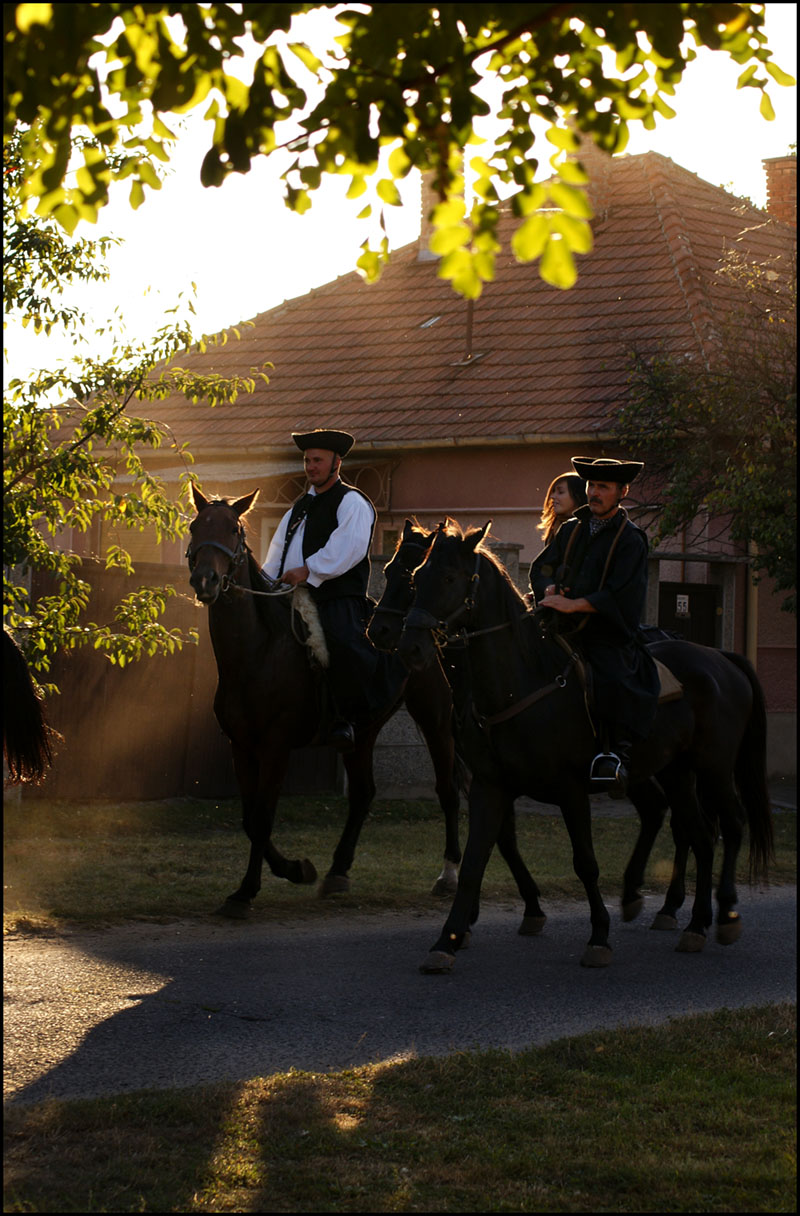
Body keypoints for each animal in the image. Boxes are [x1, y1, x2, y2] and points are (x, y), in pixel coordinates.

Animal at [187, 483, 462, 914]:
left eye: (233, 529)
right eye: (195, 527)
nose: (206, 580)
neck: (258, 651)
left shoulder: (276, 746)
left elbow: (262, 817)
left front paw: (255, 888)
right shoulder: (241, 746)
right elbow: (249, 817)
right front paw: (288, 872)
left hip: (434, 717)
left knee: (447, 789)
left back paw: (448, 875)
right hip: (363, 732)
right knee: (363, 793)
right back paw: (338, 872)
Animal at [396, 520, 768, 967]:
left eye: (450, 578)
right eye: (417, 578)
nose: (410, 648)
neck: (522, 684)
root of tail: (721, 658)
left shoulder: (572, 791)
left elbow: (585, 863)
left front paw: (599, 936)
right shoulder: (491, 787)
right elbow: (475, 861)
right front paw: (447, 940)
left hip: (714, 767)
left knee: (730, 825)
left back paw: (724, 914)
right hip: (676, 772)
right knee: (698, 834)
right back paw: (693, 923)